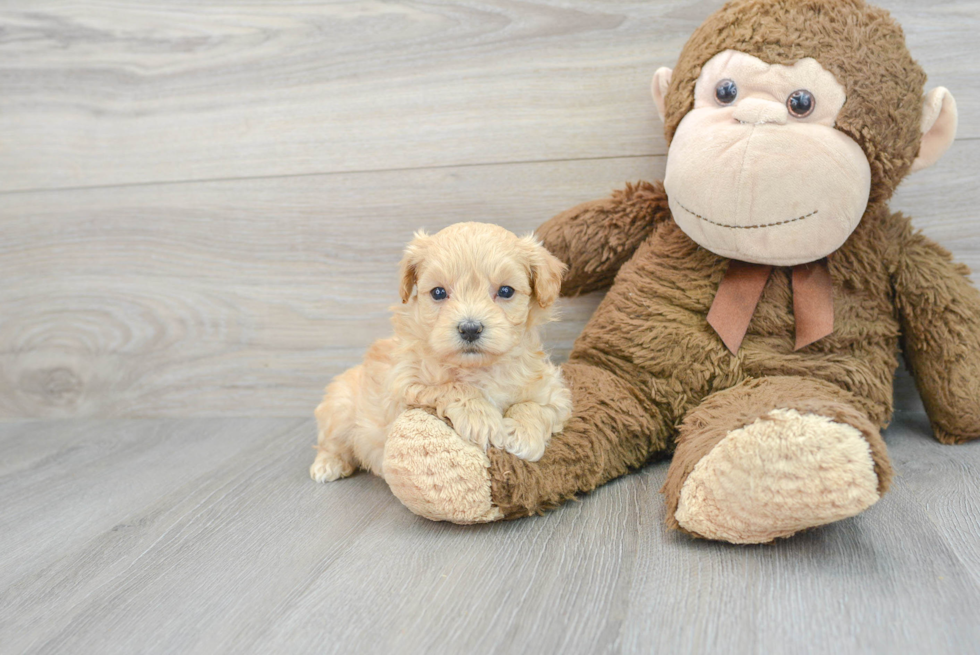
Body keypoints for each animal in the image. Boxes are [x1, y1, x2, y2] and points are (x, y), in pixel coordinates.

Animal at [310, 223, 576, 484]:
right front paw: (482, 418)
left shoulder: (554, 391)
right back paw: (328, 464)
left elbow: (537, 406)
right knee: (331, 443)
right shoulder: (403, 386)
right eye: (438, 292)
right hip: (341, 407)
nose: (470, 329)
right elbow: (453, 387)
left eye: (506, 291)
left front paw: (524, 433)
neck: (480, 368)